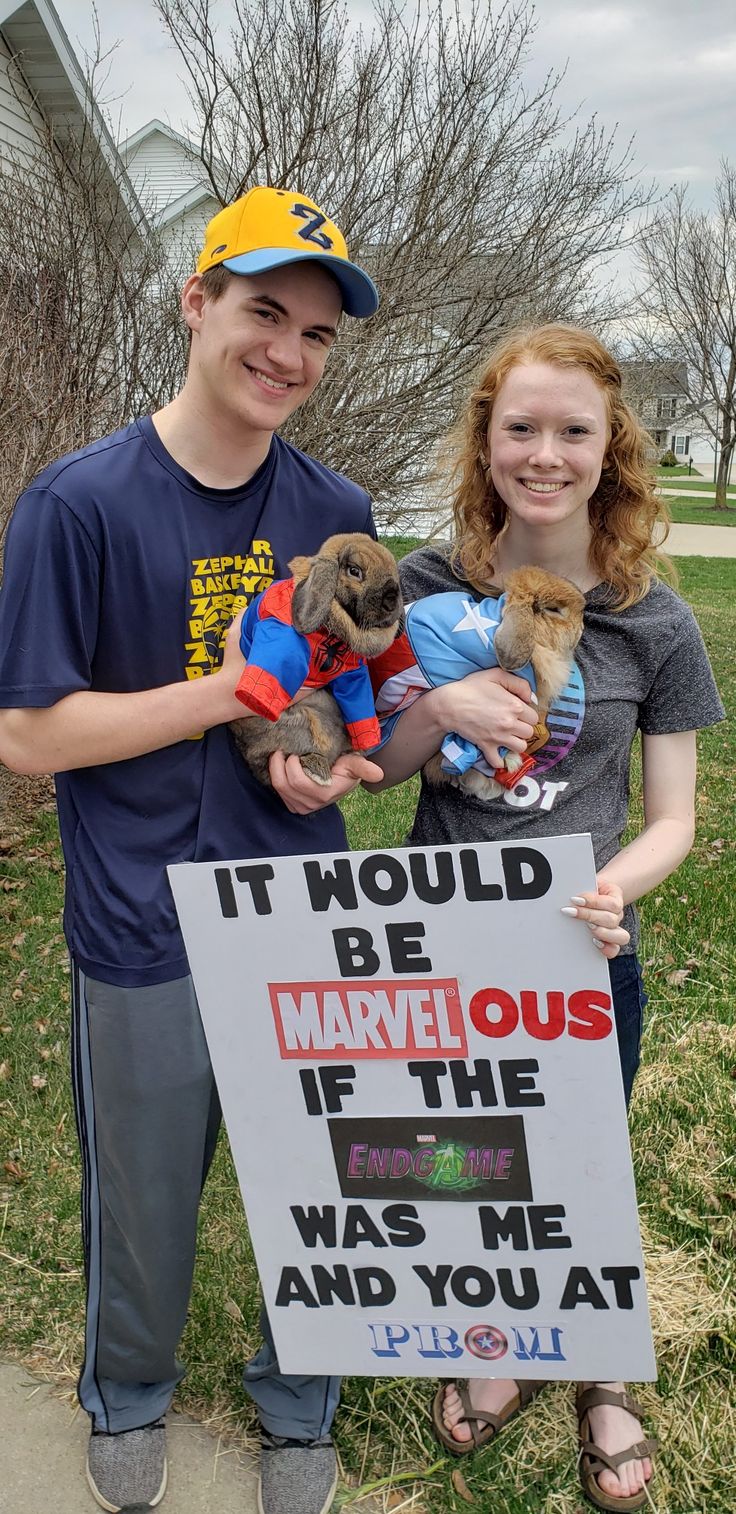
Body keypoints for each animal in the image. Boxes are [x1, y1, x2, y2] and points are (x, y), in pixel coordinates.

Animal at [231, 532, 399, 787]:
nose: (392, 600)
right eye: (354, 571)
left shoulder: (353, 677)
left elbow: (360, 711)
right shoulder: (277, 633)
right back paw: (319, 772)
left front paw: (369, 740)